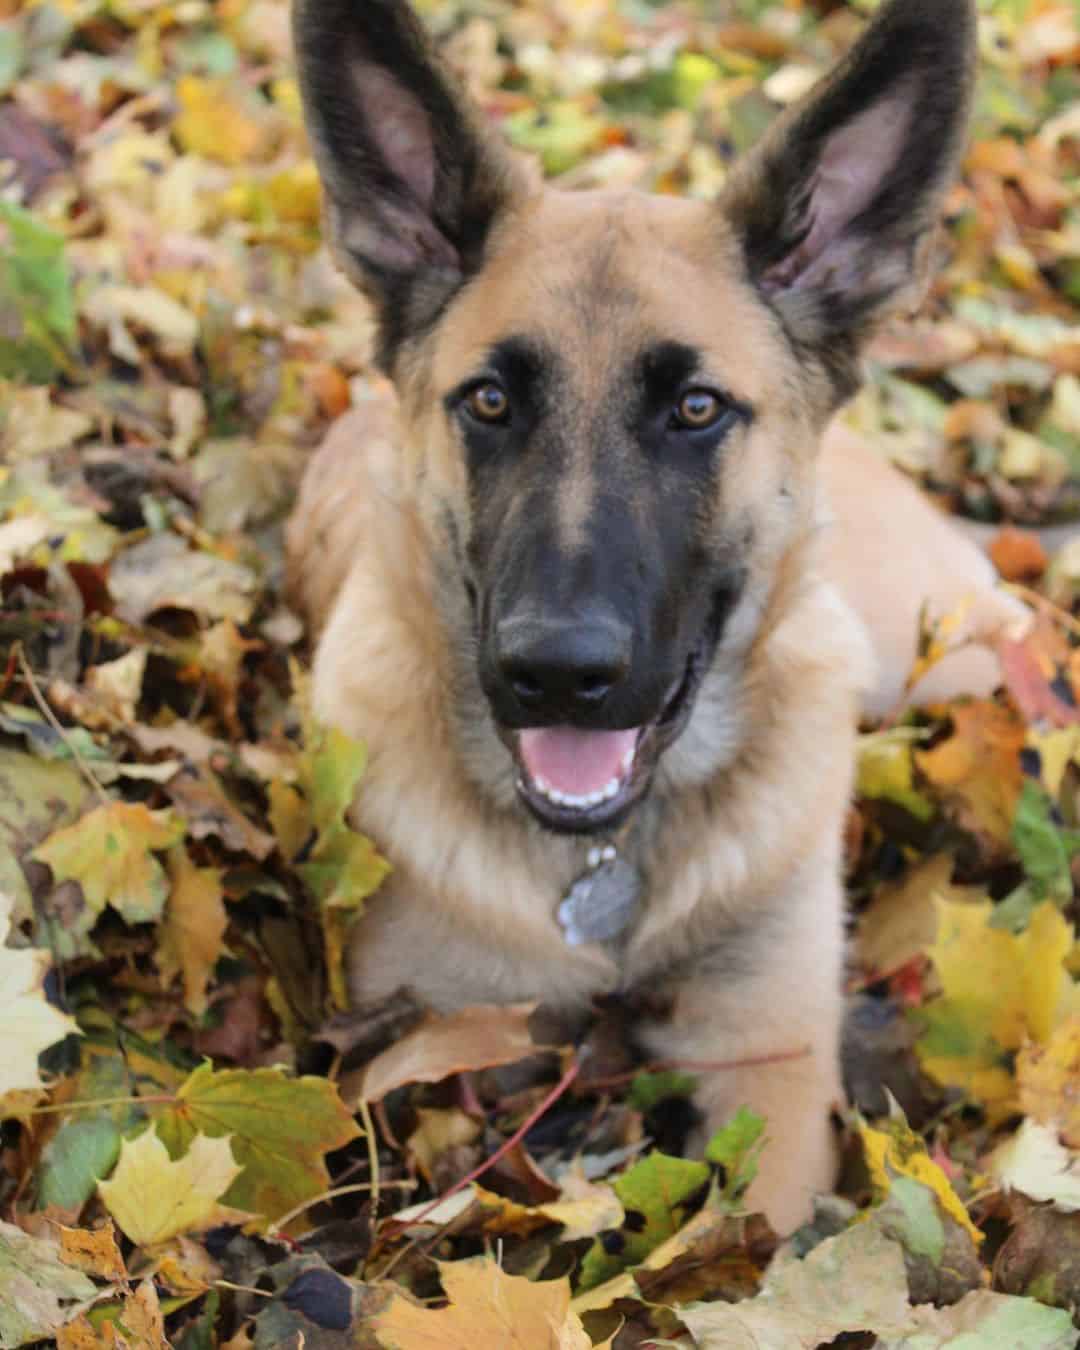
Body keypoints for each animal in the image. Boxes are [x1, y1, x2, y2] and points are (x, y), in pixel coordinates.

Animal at [284, 0, 1015, 1231]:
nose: (556, 672)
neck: (607, 860)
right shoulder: (423, 1044)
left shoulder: (767, 1064)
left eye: (697, 408)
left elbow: (769, 1236)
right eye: (490, 401)